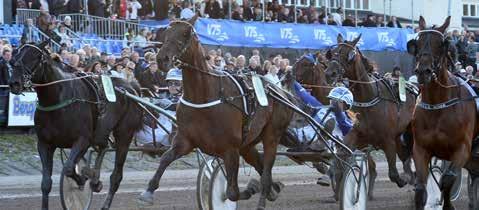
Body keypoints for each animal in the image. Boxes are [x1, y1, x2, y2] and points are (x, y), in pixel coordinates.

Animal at [139, 15, 296, 209]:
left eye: (185, 33)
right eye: (165, 33)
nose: (162, 59)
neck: (203, 96)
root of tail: (283, 92)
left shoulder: (230, 149)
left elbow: (232, 192)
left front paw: (244, 190)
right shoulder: (185, 140)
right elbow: (166, 158)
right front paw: (148, 191)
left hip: (272, 135)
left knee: (265, 172)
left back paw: (264, 195)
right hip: (247, 144)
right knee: (259, 164)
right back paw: (273, 189)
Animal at [324, 33, 418, 199]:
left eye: (349, 54)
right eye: (333, 53)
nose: (330, 73)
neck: (369, 100)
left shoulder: (387, 140)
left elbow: (393, 174)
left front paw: (404, 179)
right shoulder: (357, 135)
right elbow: (342, 156)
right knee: (404, 156)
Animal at [408, 15, 479, 209]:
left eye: (440, 44)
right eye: (418, 42)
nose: (423, 71)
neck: (437, 105)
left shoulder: (462, 149)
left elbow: (447, 180)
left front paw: (448, 204)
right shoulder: (421, 149)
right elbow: (420, 190)